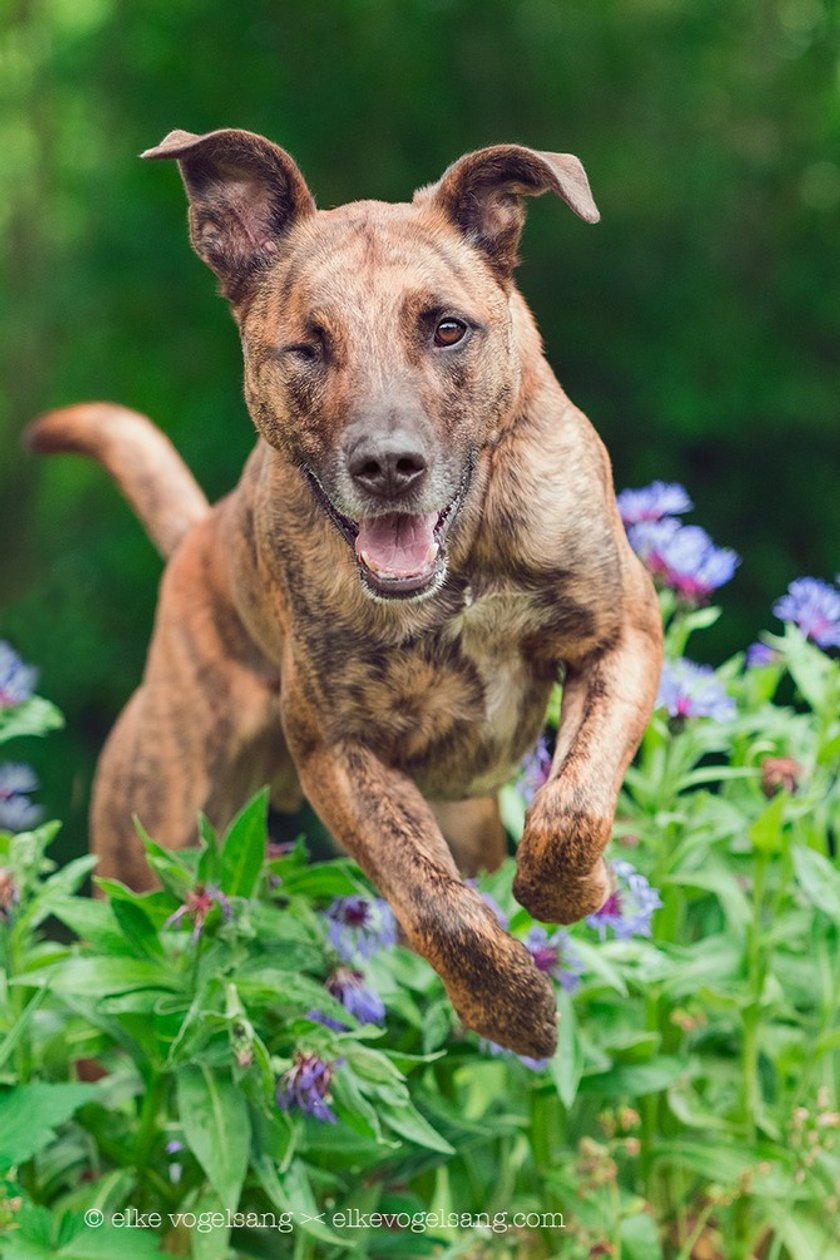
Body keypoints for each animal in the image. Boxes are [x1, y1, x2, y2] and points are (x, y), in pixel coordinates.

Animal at [29, 127, 664, 1058]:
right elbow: (434, 901)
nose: (388, 464)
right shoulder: (337, 746)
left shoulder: (621, 637)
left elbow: (570, 809)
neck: (461, 564)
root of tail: (194, 539)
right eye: (307, 346)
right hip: (153, 847)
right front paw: (512, 1009)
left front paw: (578, 893)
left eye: (447, 329)